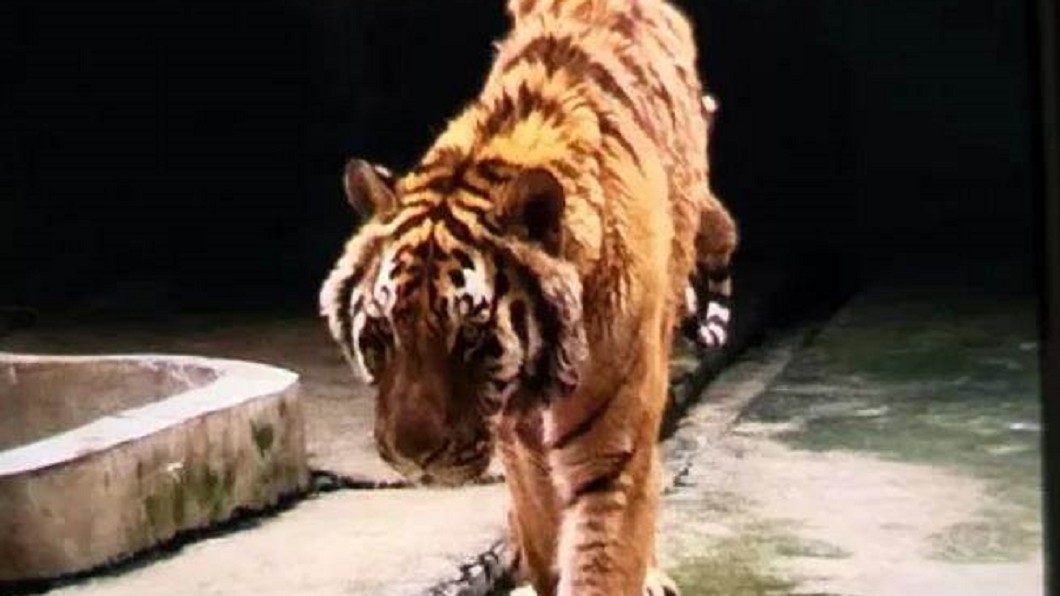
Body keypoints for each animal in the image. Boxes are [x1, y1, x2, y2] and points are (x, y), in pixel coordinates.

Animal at [319, 1, 737, 594]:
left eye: (470, 338)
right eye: (381, 334)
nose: (413, 459)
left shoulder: (612, 453)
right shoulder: (522, 449)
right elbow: (544, 537)